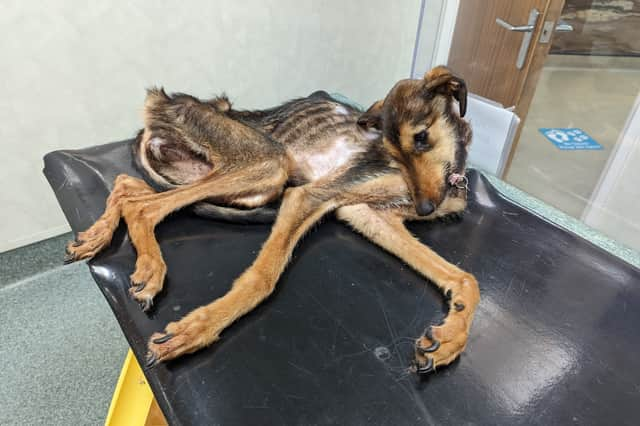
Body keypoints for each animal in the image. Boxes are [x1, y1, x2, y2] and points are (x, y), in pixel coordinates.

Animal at [65, 65, 480, 374]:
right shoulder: (312, 195)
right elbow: (262, 279)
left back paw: (97, 236)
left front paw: (452, 336)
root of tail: (162, 104)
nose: (425, 208)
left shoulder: (368, 215)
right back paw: (150, 267)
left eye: (422, 138)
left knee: (127, 186)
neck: (452, 177)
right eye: (391, 150)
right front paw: (198, 328)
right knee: (143, 207)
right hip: (268, 164)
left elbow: (465, 277)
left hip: (234, 182)